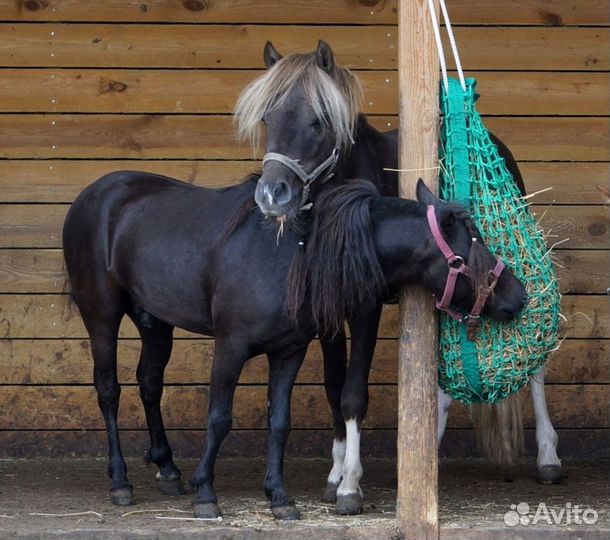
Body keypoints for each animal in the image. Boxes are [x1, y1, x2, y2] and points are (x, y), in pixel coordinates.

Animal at [64, 168, 524, 520]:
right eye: (466, 254)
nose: (518, 297)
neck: (293, 256)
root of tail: (94, 193)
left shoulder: (289, 352)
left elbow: (280, 422)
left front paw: (279, 497)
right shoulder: (230, 346)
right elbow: (219, 417)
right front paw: (207, 493)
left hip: (155, 321)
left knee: (149, 383)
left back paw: (168, 468)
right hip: (101, 314)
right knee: (108, 390)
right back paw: (121, 481)